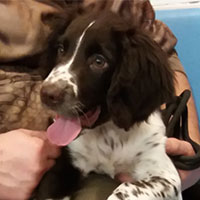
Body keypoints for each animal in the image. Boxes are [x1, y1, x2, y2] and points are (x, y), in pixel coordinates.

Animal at [37, 1, 183, 200]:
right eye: (61, 50)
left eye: (99, 61)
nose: (46, 94)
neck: (109, 133)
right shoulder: (65, 163)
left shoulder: (164, 174)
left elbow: (126, 188)